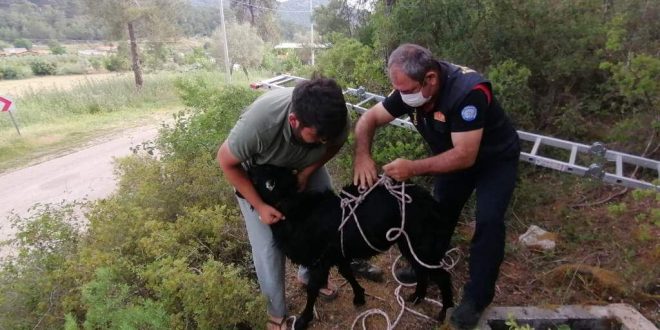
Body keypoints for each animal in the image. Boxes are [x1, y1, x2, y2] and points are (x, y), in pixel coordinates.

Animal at [245, 164, 456, 328]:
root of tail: (431, 203)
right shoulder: (336, 253)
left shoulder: (321, 259)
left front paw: (303, 320)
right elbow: (347, 272)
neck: (296, 212)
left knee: (442, 276)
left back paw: (444, 313)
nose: (248, 166)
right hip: (409, 243)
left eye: (262, 179)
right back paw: (417, 297)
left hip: (422, 243)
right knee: (421, 270)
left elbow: (312, 288)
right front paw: (359, 297)